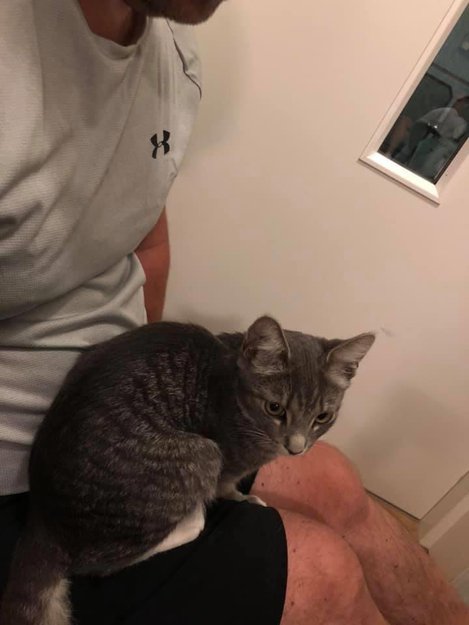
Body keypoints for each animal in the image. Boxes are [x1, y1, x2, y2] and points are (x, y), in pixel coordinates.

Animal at [0, 315, 374, 625]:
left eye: (322, 417)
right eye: (275, 408)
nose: (296, 448)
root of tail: (43, 519)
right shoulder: (226, 462)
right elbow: (227, 487)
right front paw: (243, 498)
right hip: (200, 454)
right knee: (100, 563)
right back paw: (192, 518)